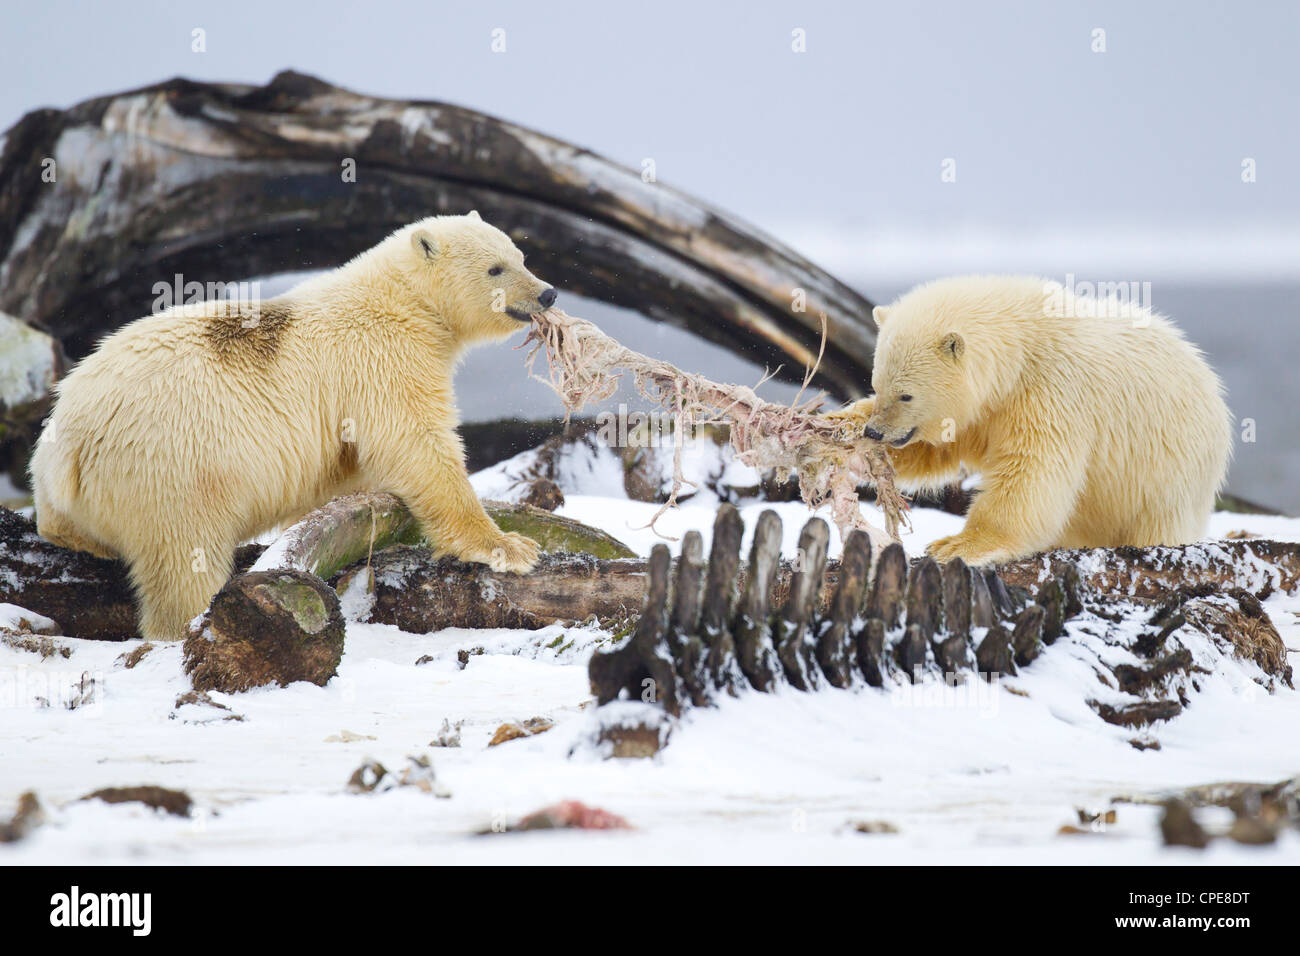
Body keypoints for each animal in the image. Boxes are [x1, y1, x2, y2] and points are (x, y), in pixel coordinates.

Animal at [30, 213, 548, 639]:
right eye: (495, 268)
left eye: (521, 256)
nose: (546, 293)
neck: (403, 302)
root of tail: (67, 442)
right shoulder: (381, 359)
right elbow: (416, 444)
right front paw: (509, 546)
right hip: (173, 464)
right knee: (184, 558)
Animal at [826, 273, 1232, 564]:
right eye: (876, 384)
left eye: (906, 394)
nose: (876, 432)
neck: (1021, 347)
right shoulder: (989, 407)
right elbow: (941, 446)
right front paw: (838, 435)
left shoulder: (1052, 392)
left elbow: (1031, 471)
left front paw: (956, 545)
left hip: (1168, 478)